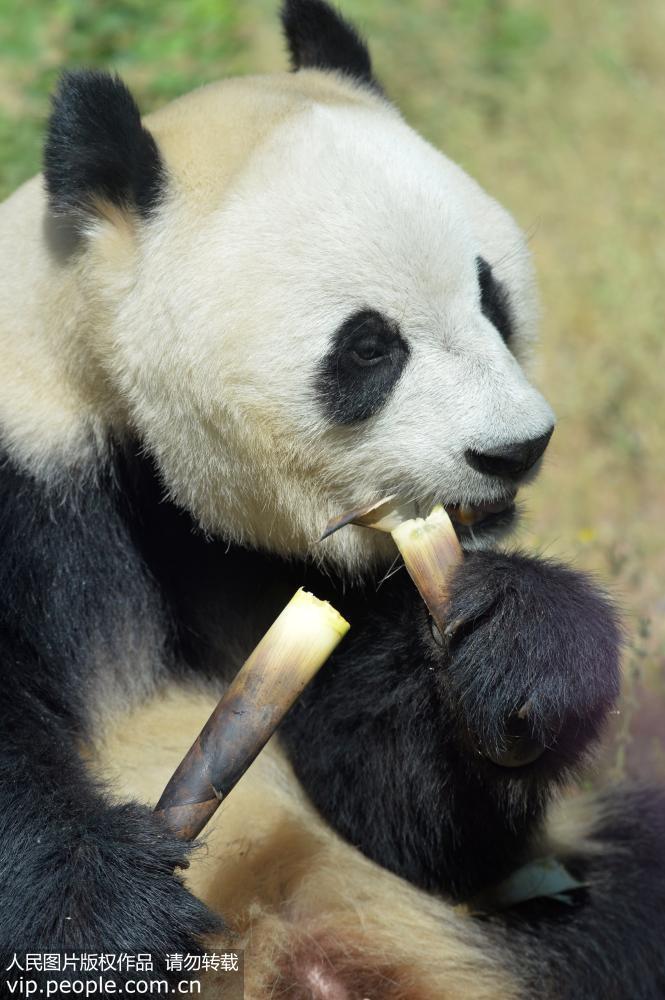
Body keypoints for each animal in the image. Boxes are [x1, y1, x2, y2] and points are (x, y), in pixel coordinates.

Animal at [1, 0, 664, 996]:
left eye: (492, 296)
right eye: (368, 347)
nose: (515, 450)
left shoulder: (309, 566)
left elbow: (411, 817)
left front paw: (516, 643)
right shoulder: (30, 470)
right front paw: (105, 908)